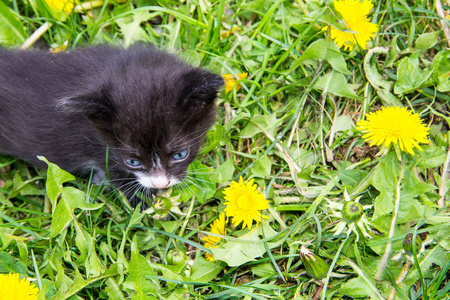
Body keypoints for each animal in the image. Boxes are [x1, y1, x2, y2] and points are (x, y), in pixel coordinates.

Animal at [0, 45, 223, 209]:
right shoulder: (102, 153)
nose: (161, 183)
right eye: (132, 162)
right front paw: (146, 205)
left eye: (180, 155)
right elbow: (118, 178)